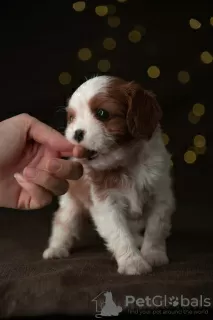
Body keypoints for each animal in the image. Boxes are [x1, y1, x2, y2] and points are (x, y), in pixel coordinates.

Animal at [42, 75, 175, 276]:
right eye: (72, 118)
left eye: (102, 114)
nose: (76, 133)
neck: (126, 164)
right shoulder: (106, 204)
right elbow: (120, 234)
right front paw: (133, 262)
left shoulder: (160, 197)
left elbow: (155, 229)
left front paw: (153, 254)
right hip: (71, 204)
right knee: (63, 224)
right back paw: (56, 249)